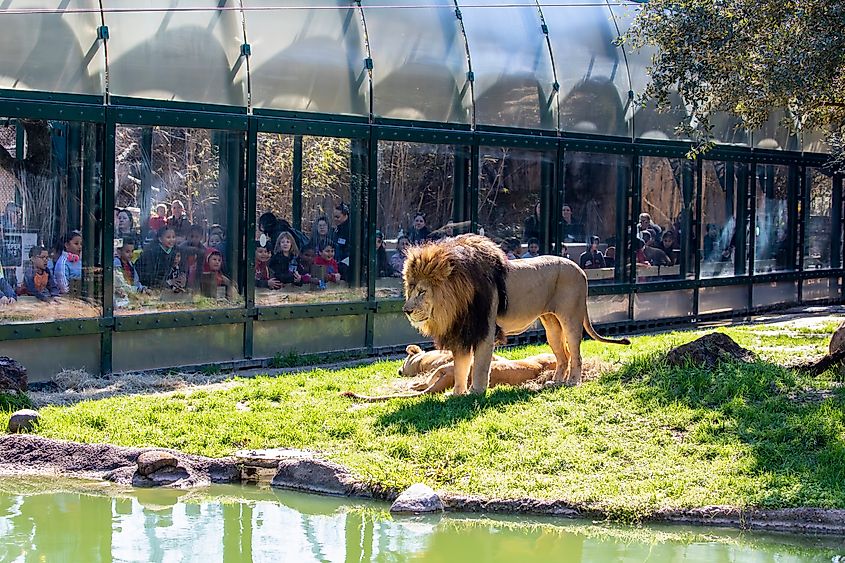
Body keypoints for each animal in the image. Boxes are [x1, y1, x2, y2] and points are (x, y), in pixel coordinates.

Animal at [402, 236, 628, 394]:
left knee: (576, 354)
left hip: (571, 318)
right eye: (410, 290)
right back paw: (555, 382)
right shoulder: (463, 332)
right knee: (563, 355)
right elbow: (460, 367)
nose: (406, 310)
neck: (455, 302)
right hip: (551, 325)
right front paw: (457, 394)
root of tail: (580, 270)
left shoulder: (485, 330)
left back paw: (573, 382)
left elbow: (480, 366)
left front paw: (476, 392)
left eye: (422, 291)